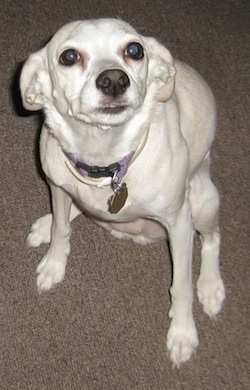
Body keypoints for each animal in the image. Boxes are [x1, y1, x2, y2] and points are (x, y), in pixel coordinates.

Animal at [20, 17, 226, 366]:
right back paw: (45, 225)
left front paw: (183, 333)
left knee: (212, 240)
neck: (105, 159)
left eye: (134, 50)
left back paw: (211, 287)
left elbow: (181, 285)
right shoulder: (57, 186)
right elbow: (62, 229)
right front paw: (54, 264)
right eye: (69, 57)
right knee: (75, 210)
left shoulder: (179, 223)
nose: (114, 80)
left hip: (203, 203)